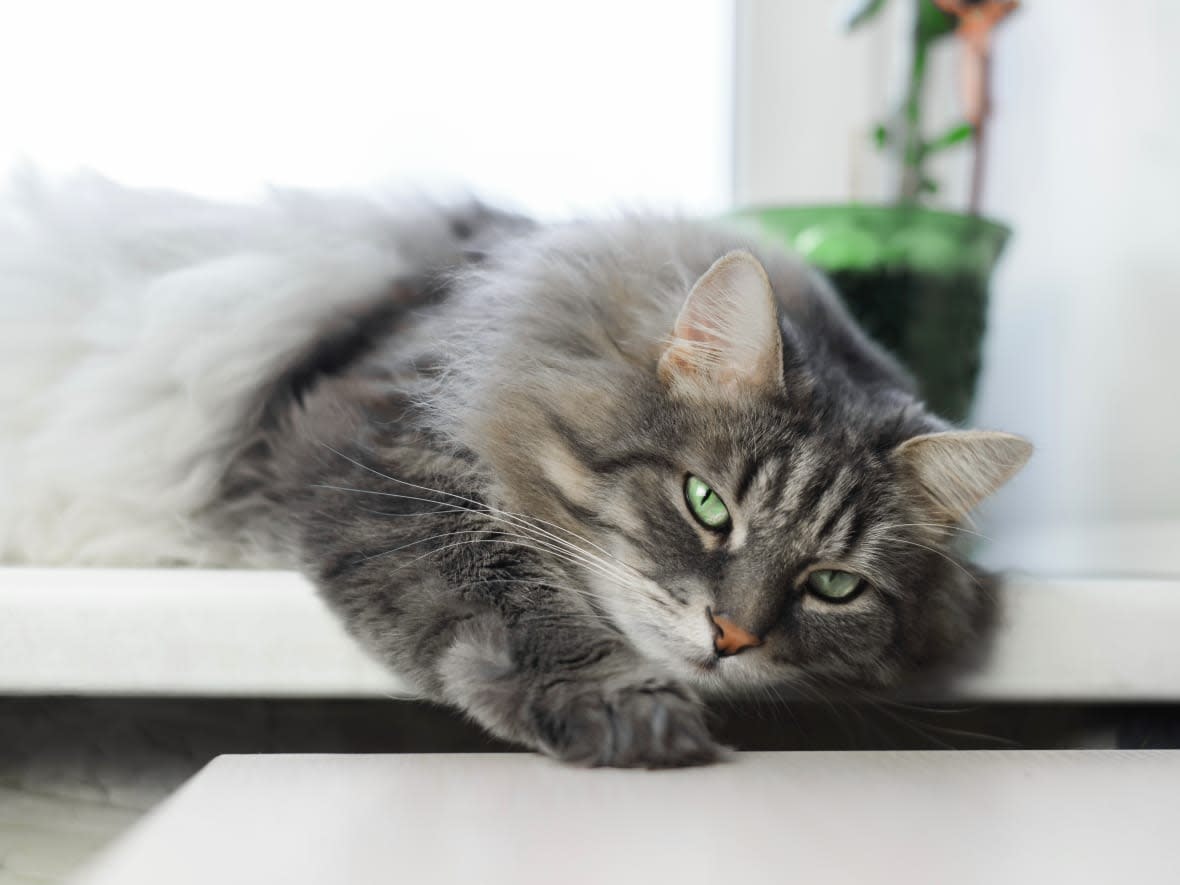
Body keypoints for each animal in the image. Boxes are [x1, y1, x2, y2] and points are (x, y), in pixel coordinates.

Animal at [0, 174, 1033, 769]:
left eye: (835, 585)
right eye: (707, 504)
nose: (731, 636)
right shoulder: (387, 454)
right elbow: (511, 599)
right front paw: (631, 716)